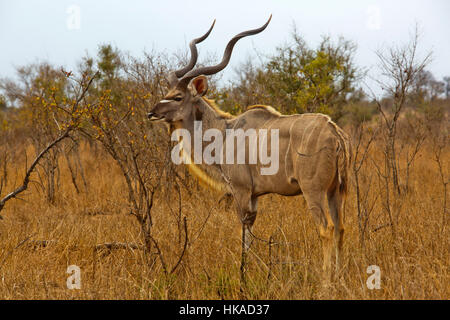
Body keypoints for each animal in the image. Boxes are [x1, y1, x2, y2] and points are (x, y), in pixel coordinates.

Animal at [148, 15, 352, 280]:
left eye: (178, 97)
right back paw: (340, 278)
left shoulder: (242, 191)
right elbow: (251, 234)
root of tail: (334, 133)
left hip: (313, 191)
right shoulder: (255, 196)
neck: (225, 132)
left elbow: (244, 234)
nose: (151, 113)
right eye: (169, 92)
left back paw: (326, 281)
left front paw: (243, 276)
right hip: (335, 191)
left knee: (327, 229)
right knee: (340, 228)